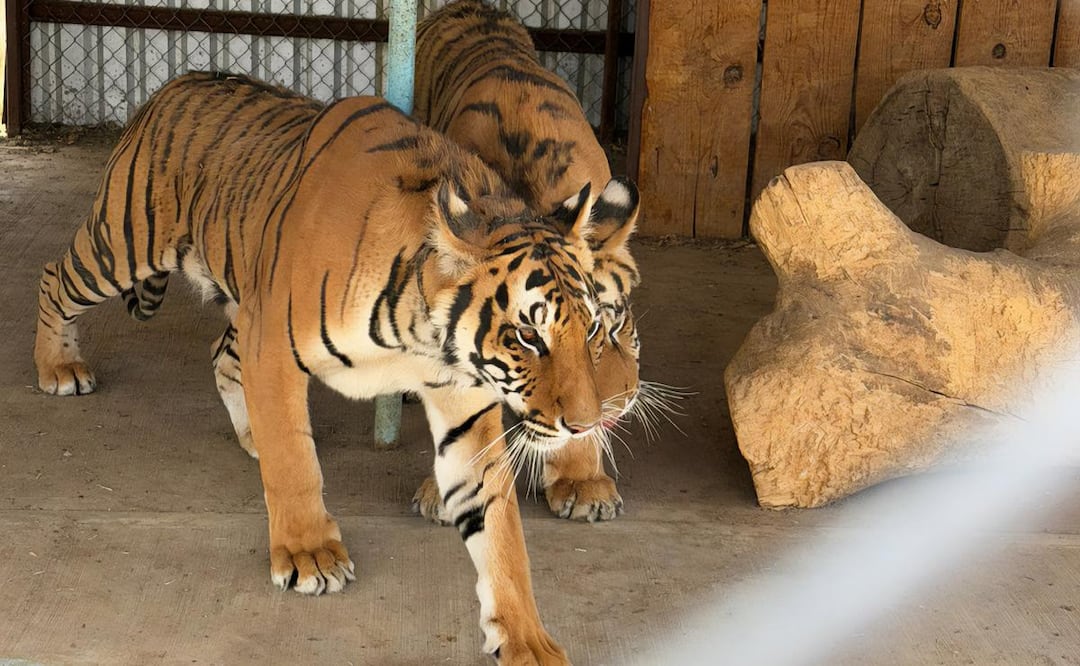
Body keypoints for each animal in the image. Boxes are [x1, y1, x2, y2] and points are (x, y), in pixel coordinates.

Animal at [32, 71, 636, 664]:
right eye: (528, 335)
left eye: (593, 327)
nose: (588, 424)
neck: (423, 334)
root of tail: (174, 83)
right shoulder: (273, 347)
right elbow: (296, 466)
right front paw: (309, 555)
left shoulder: (464, 410)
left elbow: (500, 530)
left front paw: (527, 641)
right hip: (121, 247)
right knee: (53, 276)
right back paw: (59, 367)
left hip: (239, 301)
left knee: (221, 357)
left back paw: (250, 434)